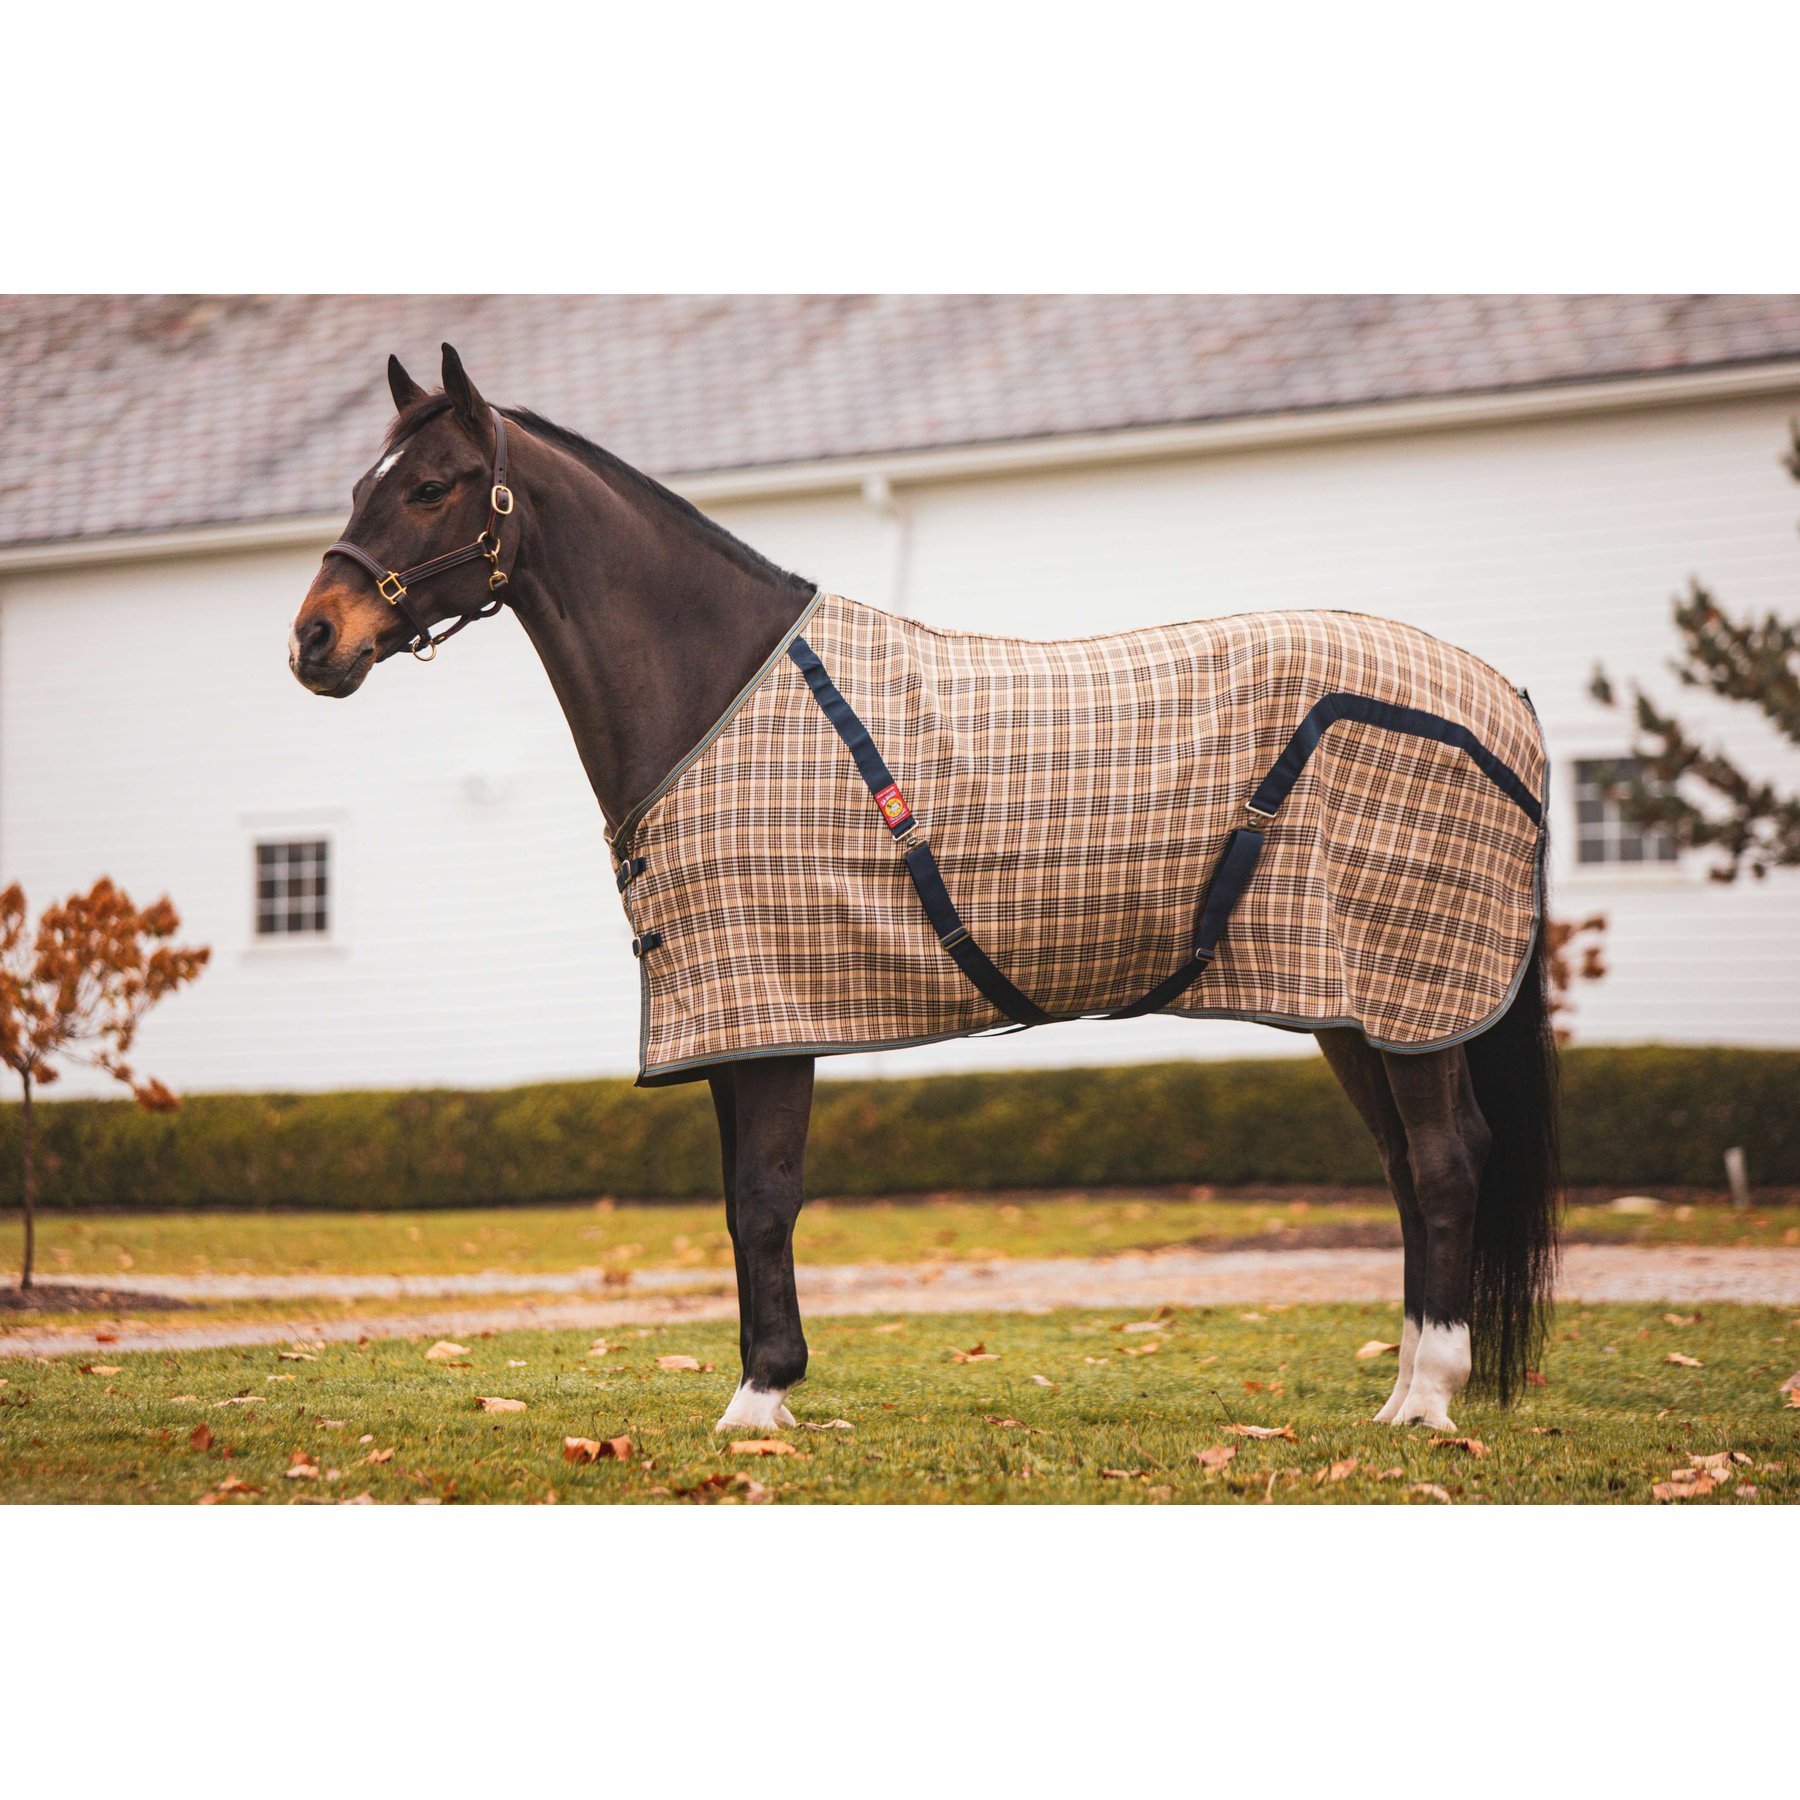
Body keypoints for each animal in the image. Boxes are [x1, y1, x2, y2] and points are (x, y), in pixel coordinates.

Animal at [289, 344, 1560, 1436]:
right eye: (360, 483)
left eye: (434, 487)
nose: (313, 639)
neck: (716, 691)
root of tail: (1501, 696)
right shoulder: (735, 1019)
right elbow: (740, 1202)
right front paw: (767, 1383)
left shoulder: (773, 1009)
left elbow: (764, 1195)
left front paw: (760, 1399)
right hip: (1356, 1005)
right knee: (1407, 1166)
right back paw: (1401, 1390)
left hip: (1409, 990)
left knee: (1446, 1159)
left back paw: (1431, 1398)